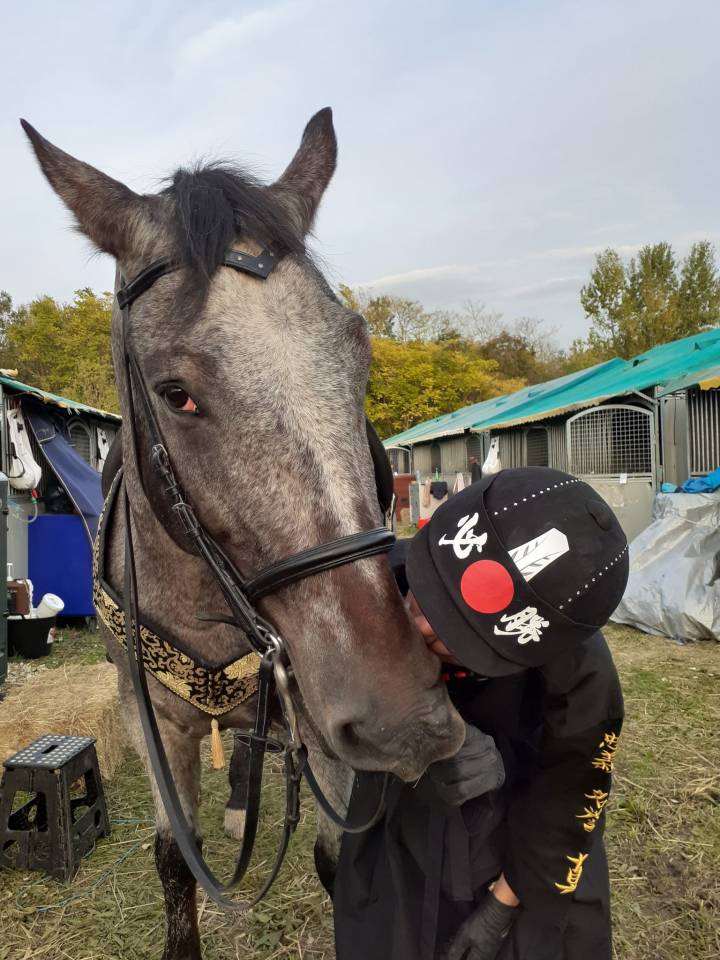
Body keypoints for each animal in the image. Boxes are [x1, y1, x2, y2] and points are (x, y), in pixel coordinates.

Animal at [23, 109, 465, 960]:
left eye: (357, 358)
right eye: (176, 394)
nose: (404, 717)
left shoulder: (321, 725)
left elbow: (338, 862)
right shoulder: (156, 725)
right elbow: (174, 862)